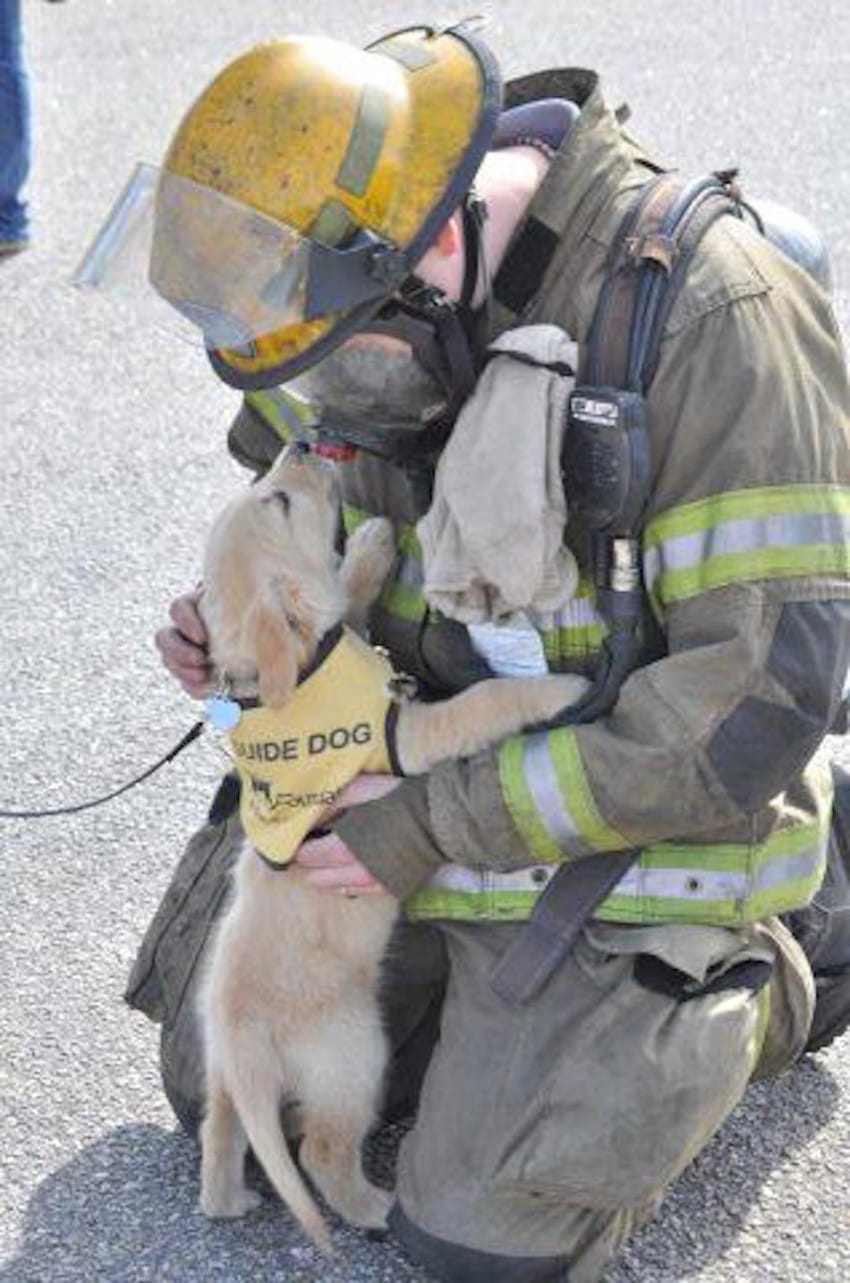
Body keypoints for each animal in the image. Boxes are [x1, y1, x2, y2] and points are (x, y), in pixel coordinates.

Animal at [196, 443, 589, 1252]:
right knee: (320, 1149)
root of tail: (242, 1034)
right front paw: (560, 688)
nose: (305, 443)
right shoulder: (410, 733)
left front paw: (373, 545)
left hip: (220, 1073)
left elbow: (344, 601)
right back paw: (373, 1208)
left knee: (220, 1132)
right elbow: (483, 700)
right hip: (355, 1054)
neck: (296, 674)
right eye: (280, 501)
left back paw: (229, 1202)